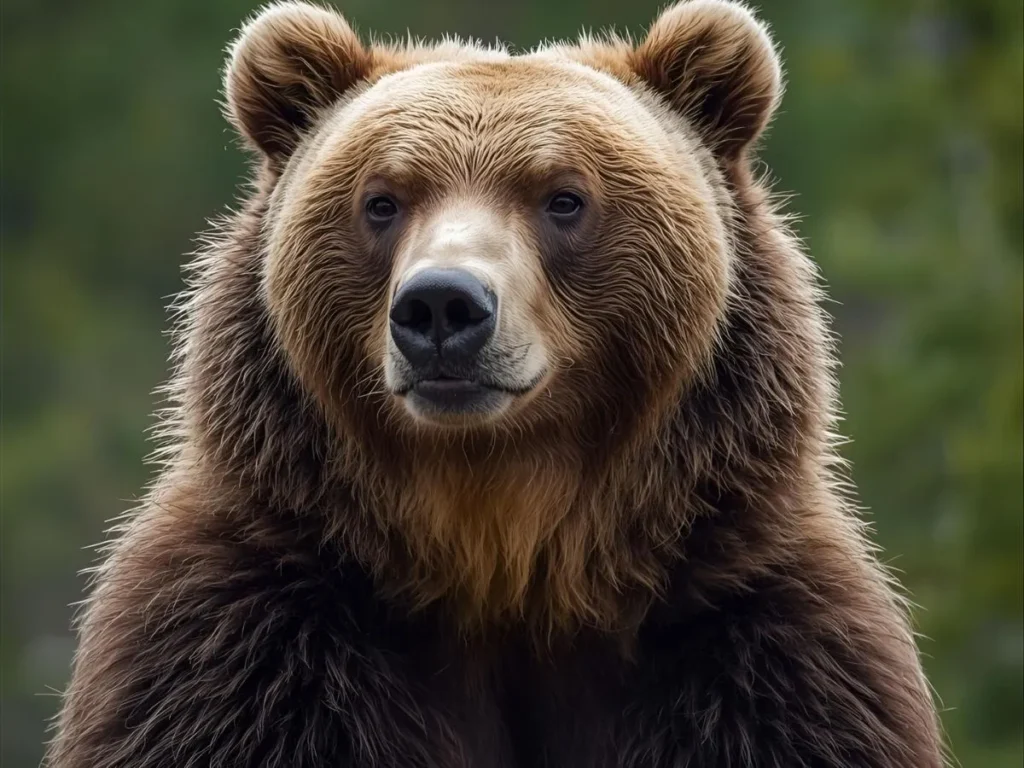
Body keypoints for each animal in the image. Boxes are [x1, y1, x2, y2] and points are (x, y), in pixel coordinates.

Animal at [47, 1, 944, 766]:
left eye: (565, 198)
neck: (502, 556)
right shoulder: (247, 652)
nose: (442, 304)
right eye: (382, 200)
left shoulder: (755, 652)